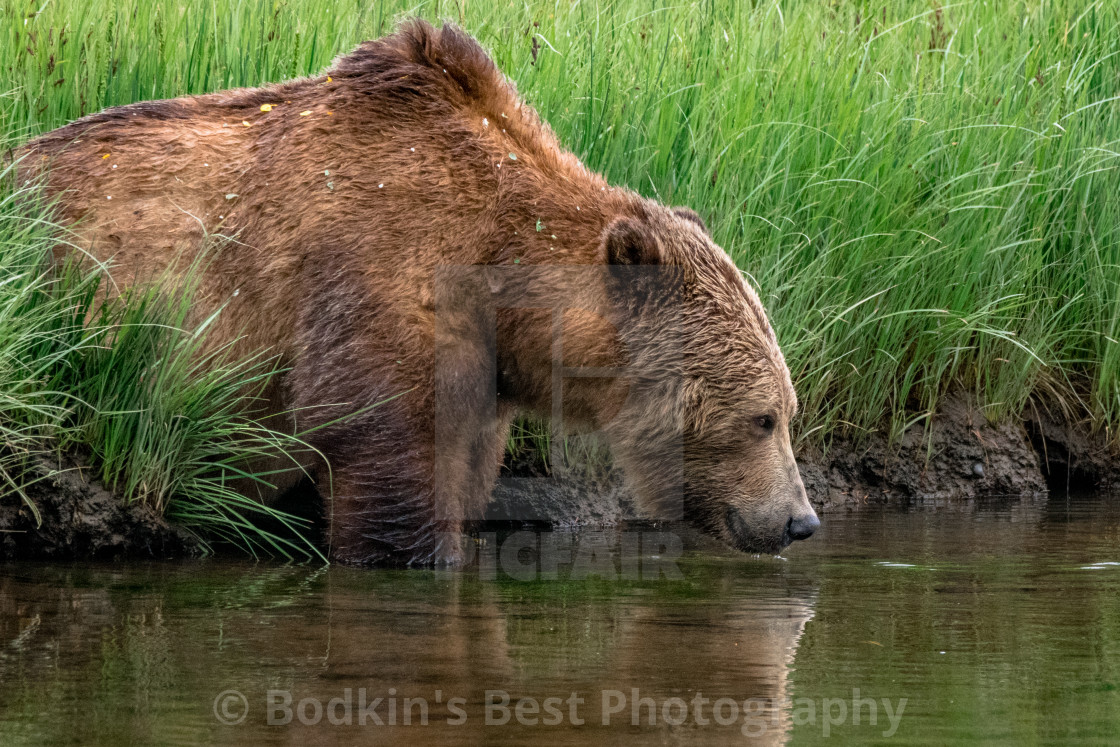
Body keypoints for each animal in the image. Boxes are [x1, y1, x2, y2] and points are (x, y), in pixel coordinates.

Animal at [21, 19, 819, 566]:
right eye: (763, 418)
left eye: (787, 410)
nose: (800, 520)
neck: (506, 280)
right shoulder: (379, 280)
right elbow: (387, 463)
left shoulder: (486, 374)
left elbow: (462, 471)